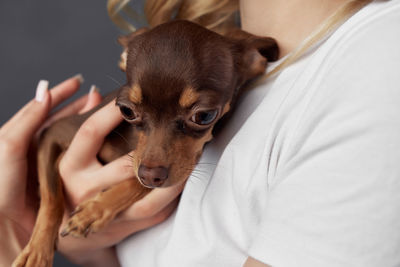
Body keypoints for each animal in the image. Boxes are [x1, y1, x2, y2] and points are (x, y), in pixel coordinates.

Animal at [10, 20, 276, 267]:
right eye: (126, 110)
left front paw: (94, 211)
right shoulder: (53, 134)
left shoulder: (174, 174)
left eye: (205, 116)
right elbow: (51, 199)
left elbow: (136, 183)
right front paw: (36, 252)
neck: (132, 143)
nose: (150, 174)